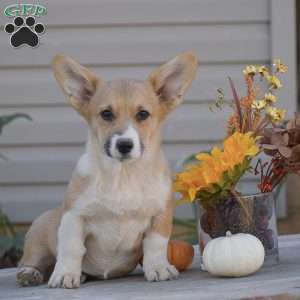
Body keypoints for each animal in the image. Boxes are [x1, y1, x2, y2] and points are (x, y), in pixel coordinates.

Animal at [17, 51, 198, 288]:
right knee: (30, 260)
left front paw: (158, 268)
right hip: (39, 234)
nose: (124, 145)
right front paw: (66, 274)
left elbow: (156, 245)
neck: (123, 174)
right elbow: (71, 248)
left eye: (143, 114)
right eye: (106, 114)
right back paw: (31, 273)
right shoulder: (74, 215)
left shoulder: (161, 214)